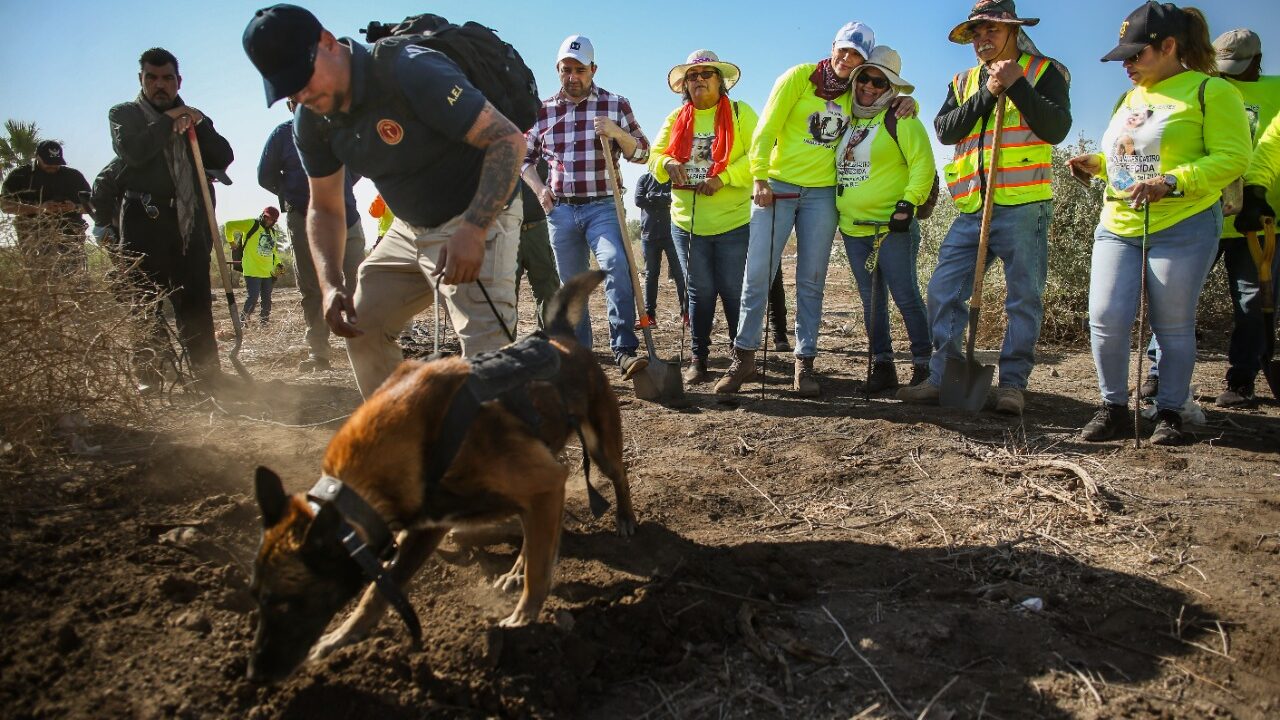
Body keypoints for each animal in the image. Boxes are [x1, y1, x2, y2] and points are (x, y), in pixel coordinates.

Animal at [245, 269, 634, 676]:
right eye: (255, 597)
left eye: (285, 601)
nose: (254, 673)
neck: (415, 438)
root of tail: (561, 336)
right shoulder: (429, 526)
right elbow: (377, 591)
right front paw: (344, 636)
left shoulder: (544, 484)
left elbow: (540, 573)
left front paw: (524, 619)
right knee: (535, 532)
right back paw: (514, 571)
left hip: (598, 449)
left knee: (618, 477)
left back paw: (624, 518)